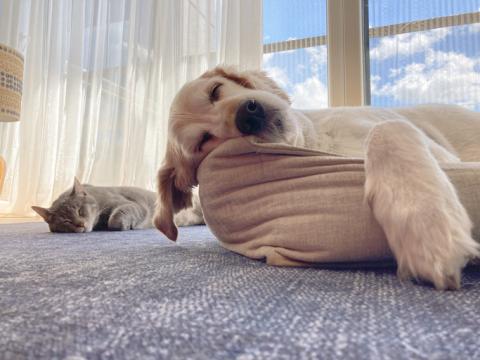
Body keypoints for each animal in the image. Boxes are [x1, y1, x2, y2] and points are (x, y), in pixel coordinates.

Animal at [155, 64, 480, 290]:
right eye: (203, 141)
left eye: (215, 91)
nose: (248, 114)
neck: (320, 144)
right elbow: (386, 129)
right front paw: (424, 226)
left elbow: (386, 128)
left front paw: (427, 222)